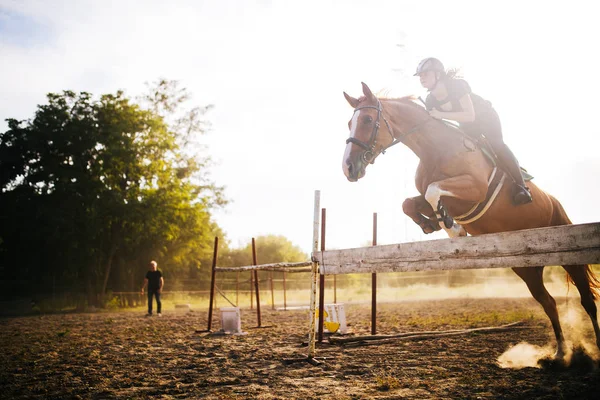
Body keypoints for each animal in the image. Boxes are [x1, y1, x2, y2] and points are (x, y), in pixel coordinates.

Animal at [342, 81, 600, 360]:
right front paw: (432, 223)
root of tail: (554, 202)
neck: (435, 149)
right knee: (548, 302)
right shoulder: (443, 197)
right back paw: (561, 351)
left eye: (368, 120)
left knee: (587, 300)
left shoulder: (474, 188)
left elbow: (433, 190)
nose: (348, 168)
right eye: (350, 122)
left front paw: (452, 228)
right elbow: (411, 202)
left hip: (568, 254)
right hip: (525, 267)